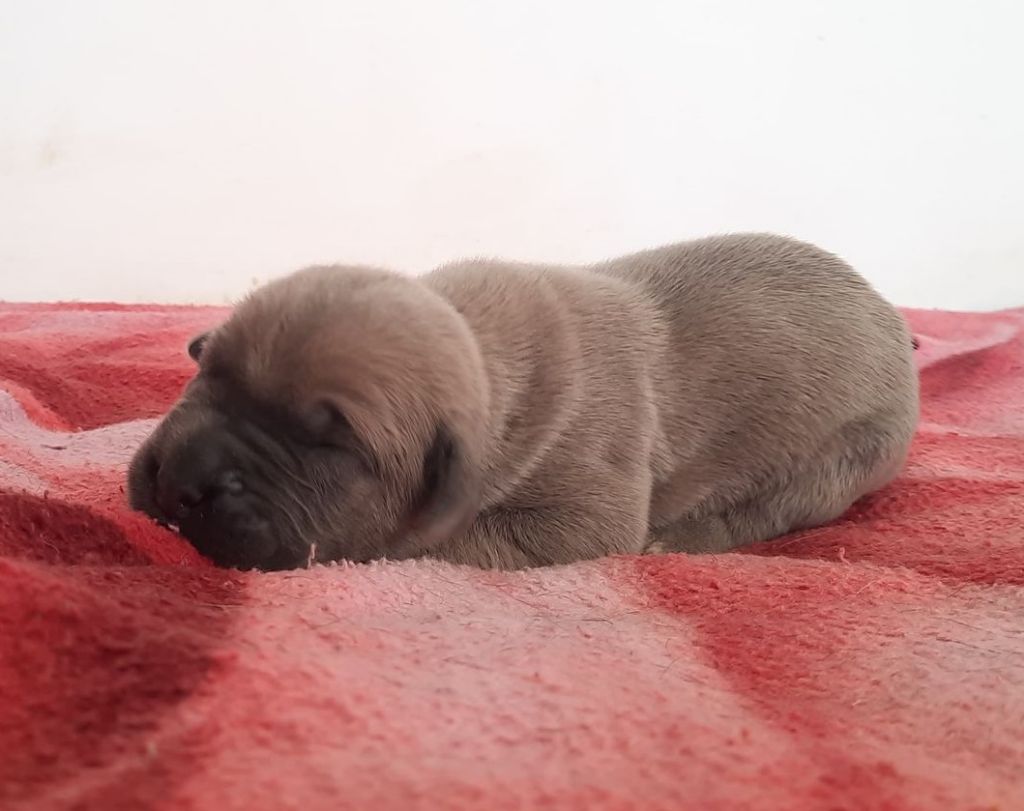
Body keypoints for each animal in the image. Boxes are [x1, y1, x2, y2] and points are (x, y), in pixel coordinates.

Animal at [127, 233, 919, 570]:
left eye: (332, 448)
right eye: (209, 371)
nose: (185, 480)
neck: (484, 353)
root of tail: (893, 319)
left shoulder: (588, 511)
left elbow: (441, 539)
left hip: (848, 452)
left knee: (774, 508)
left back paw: (682, 539)